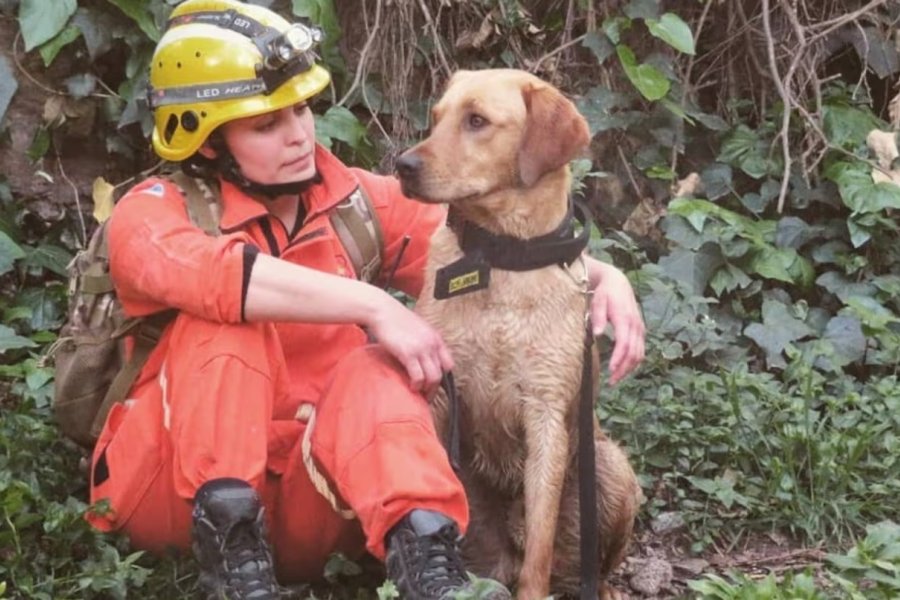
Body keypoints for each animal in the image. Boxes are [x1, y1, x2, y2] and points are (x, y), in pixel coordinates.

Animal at [398, 68, 644, 596]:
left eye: (477, 121)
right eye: (436, 117)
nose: (402, 165)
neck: (500, 258)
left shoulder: (545, 414)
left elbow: (539, 545)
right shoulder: (439, 394)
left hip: (609, 467)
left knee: (584, 564)